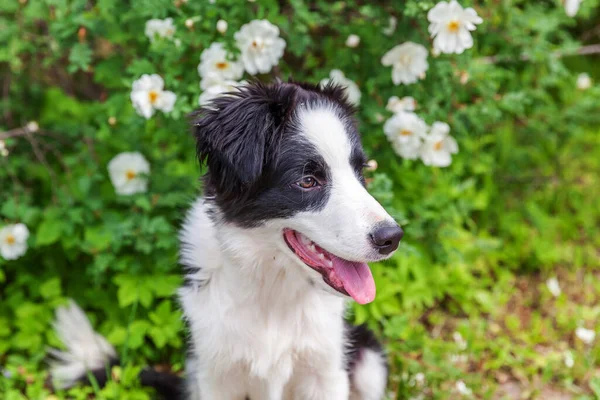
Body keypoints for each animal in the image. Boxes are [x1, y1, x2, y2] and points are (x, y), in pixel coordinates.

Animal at [50, 79, 404, 398]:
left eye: (360, 171)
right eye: (307, 180)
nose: (392, 237)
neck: (272, 288)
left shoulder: (326, 370)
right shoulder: (214, 373)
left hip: (368, 361)